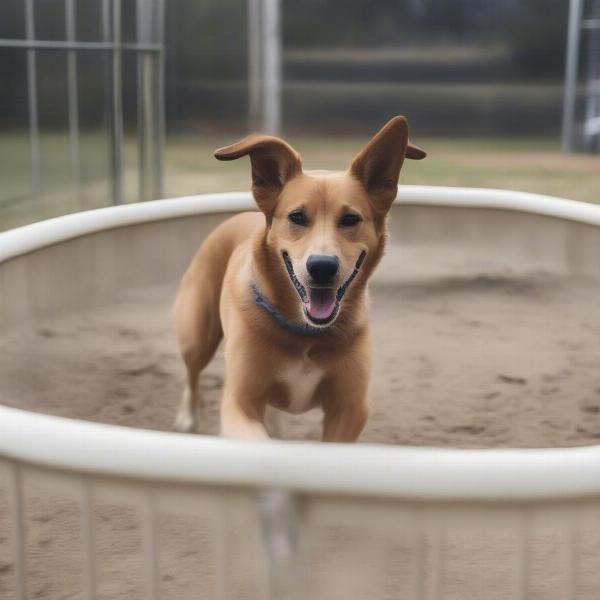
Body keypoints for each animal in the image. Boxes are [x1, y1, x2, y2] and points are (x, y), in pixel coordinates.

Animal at [173, 117, 426, 442]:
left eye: (350, 219)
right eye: (296, 217)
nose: (322, 266)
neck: (304, 334)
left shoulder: (350, 408)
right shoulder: (240, 401)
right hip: (197, 331)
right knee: (192, 372)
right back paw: (187, 417)